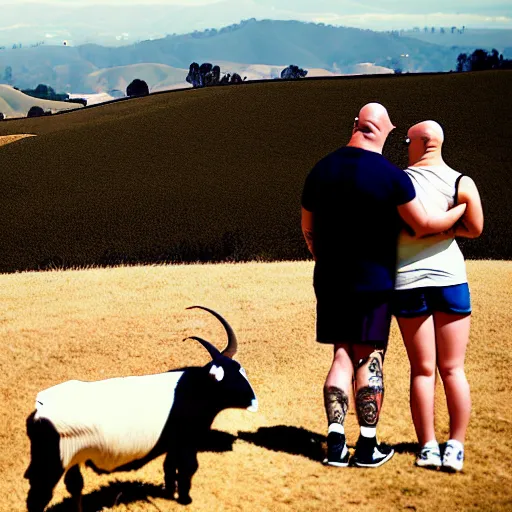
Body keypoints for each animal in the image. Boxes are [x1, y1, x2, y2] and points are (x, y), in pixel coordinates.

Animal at [25, 306, 256, 510]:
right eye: (224, 377)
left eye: (241, 370)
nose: (254, 402)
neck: (192, 387)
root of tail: (41, 408)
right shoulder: (187, 442)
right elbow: (188, 468)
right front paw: (185, 500)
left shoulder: (173, 444)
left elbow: (169, 466)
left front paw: (169, 493)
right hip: (53, 465)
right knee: (38, 499)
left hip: (73, 460)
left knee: (74, 486)